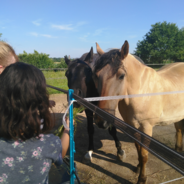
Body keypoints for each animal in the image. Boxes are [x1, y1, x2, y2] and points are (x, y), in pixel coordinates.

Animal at [94, 40, 184, 184]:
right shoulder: (132, 126)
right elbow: (138, 148)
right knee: (179, 130)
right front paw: (138, 167)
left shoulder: (146, 128)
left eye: (121, 76)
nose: (101, 121)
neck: (141, 92)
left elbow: (144, 154)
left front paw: (142, 178)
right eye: (97, 75)